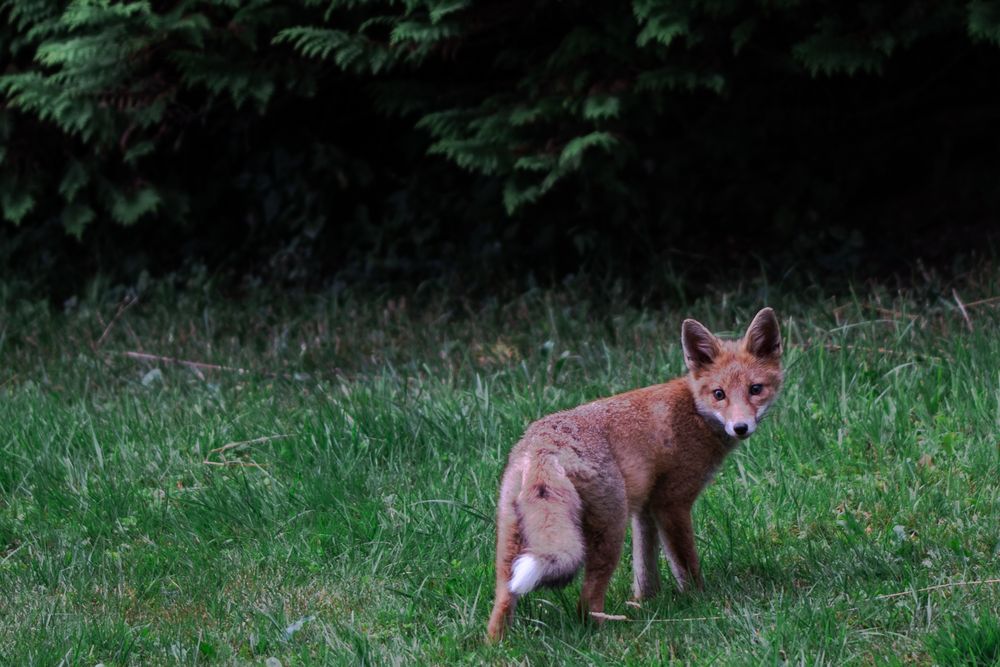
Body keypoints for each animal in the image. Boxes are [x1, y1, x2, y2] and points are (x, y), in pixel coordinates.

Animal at [484, 308, 780, 640]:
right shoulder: (671, 504)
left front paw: (645, 602)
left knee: (502, 600)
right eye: (719, 394)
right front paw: (700, 602)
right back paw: (603, 630)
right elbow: (685, 565)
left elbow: (644, 569)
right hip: (610, 530)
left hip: (513, 542)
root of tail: (545, 447)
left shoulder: (646, 508)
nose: (741, 427)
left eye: (755, 389)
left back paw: (497, 644)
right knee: (586, 601)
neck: (694, 411)